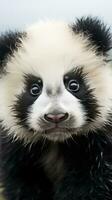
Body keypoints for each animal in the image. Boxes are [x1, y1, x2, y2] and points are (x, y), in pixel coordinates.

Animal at [0, 16, 112, 200]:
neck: (57, 142)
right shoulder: (16, 149)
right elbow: (22, 183)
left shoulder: (99, 141)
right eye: (34, 89)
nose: (56, 117)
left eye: (73, 84)